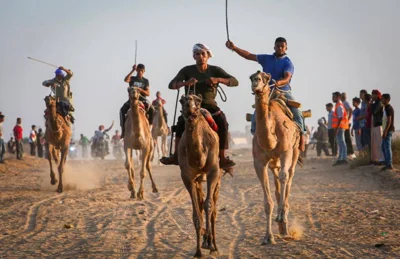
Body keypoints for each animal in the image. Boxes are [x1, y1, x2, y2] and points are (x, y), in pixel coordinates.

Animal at [178, 93, 222, 258]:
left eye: (197, 100)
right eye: (181, 100)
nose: (189, 105)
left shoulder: (214, 171)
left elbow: (209, 205)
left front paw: (208, 243)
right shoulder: (187, 177)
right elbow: (196, 213)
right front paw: (198, 251)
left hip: (218, 176)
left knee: (213, 208)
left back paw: (214, 245)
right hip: (198, 180)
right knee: (202, 203)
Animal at [248, 71, 302, 246]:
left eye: (265, 77)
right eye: (251, 77)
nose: (256, 82)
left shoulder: (286, 151)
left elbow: (285, 177)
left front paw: (282, 215)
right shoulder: (259, 162)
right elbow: (267, 202)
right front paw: (268, 237)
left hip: (295, 151)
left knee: (289, 175)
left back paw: (283, 217)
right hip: (273, 162)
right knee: (277, 179)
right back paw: (282, 228)